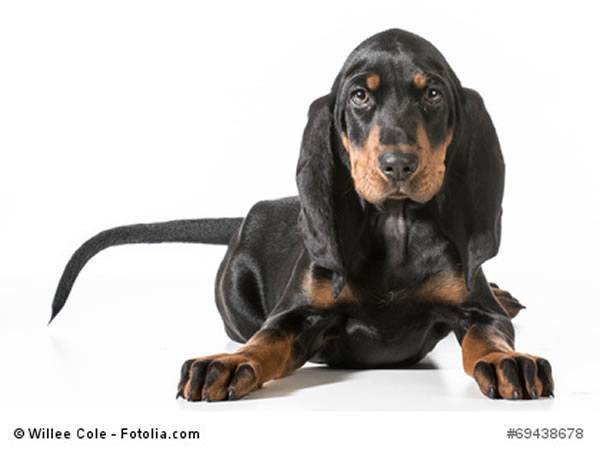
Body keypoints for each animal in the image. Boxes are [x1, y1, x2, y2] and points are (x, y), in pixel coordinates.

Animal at [49, 28, 556, 400]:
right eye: (359, 96)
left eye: (432, 93)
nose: (397, 165)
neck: (396, 226)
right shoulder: (296, 315)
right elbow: (266, 341)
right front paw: (227, 363)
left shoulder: (477, 310)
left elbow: (489, 334)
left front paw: (507, 361)